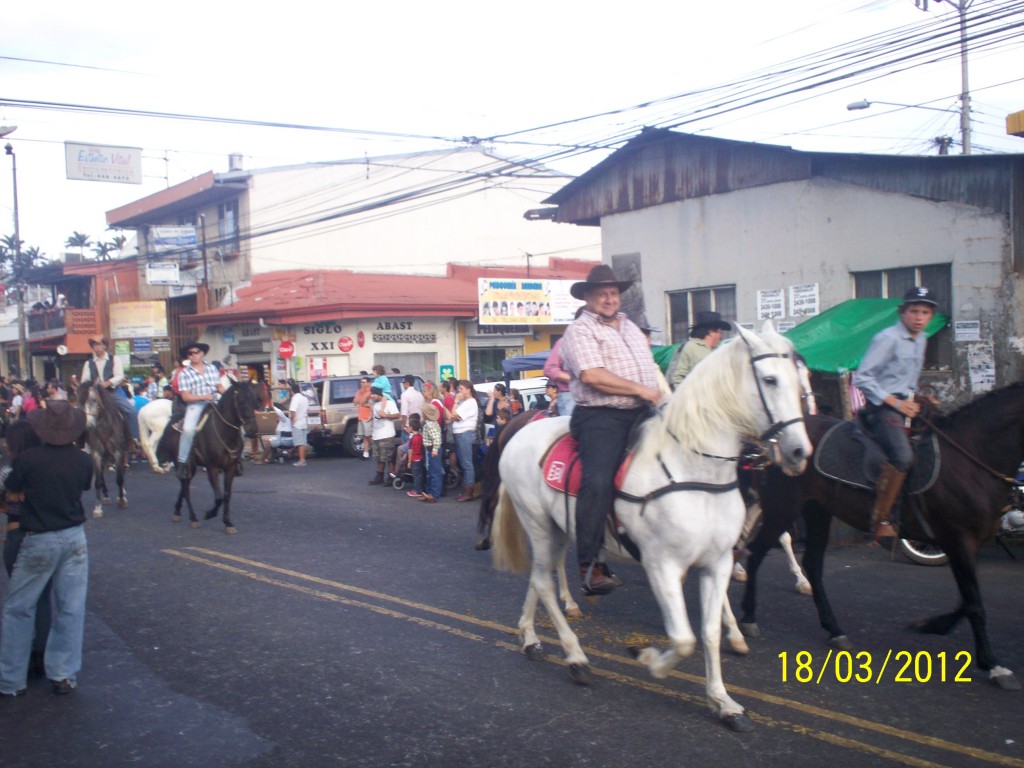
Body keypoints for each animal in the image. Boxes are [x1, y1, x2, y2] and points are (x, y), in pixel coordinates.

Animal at [158, 380, 262, 536]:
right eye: (241, 401)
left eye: (254, 400)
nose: (253, 431)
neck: (223, 431)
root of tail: (172, 420)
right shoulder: (212, 467)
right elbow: (218, 497)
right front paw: (209, 514)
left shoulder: (230, 468)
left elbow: (226, 495)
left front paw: (228, 523)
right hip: (179, 461)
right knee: (185, 486)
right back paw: (193, 518)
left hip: (192, 466)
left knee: (185, 484)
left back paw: (177, 511)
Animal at [491, 325, 811, 733]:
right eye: (769, 380)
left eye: (801, 381)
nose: (799, 452)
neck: (693, 470)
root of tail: (516, 434)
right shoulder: (663, 565)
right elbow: (684, 638)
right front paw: (648, 660)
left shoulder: (717, 562)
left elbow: (707, 633)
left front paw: (724, 703)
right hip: (538, 525)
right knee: (545, 583)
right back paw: (576, 658)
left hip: (557, 529)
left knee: (538, 577)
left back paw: (530, 638)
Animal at [741, 385, 1024, 692]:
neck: (970, 459)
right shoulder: (958, 540)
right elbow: (974, 604)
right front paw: (993, 665)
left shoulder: (968, 544)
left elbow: (967, 599)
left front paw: (931, 624)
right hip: (783, 508)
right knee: (756, 552)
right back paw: (748, 617)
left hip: (817, 510)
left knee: (812, 564)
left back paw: (834, 630)